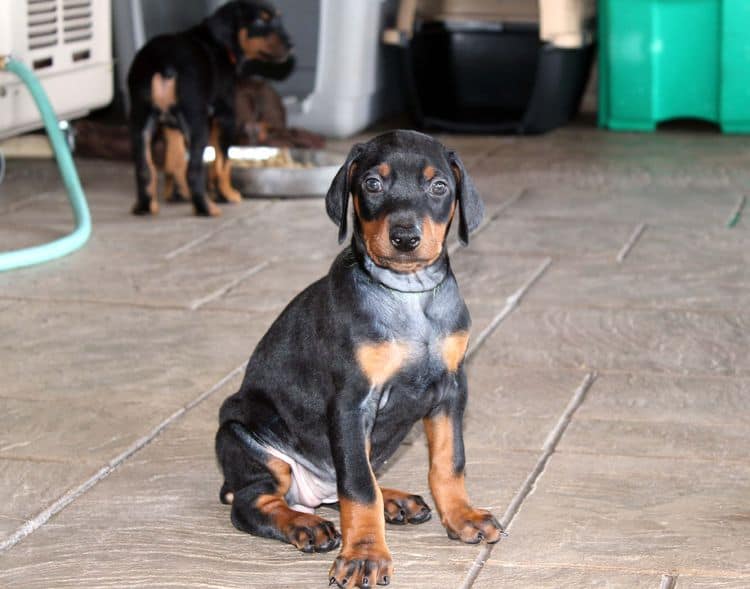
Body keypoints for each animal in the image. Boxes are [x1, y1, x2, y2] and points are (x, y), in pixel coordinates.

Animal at [128, 0, 292, 216]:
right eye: (259, 21)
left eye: (278, 18)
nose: (291, 45)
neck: (219, 44)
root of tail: (163, 62)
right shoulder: (226, 116)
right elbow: (222, 163)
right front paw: (227, 195)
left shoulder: (171, 126)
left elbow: (175, 160)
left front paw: (177, 193)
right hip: (198, 123)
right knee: (193, 170)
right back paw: (206, 208)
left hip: (140, 123)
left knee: (144, 168)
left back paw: (146, 206)